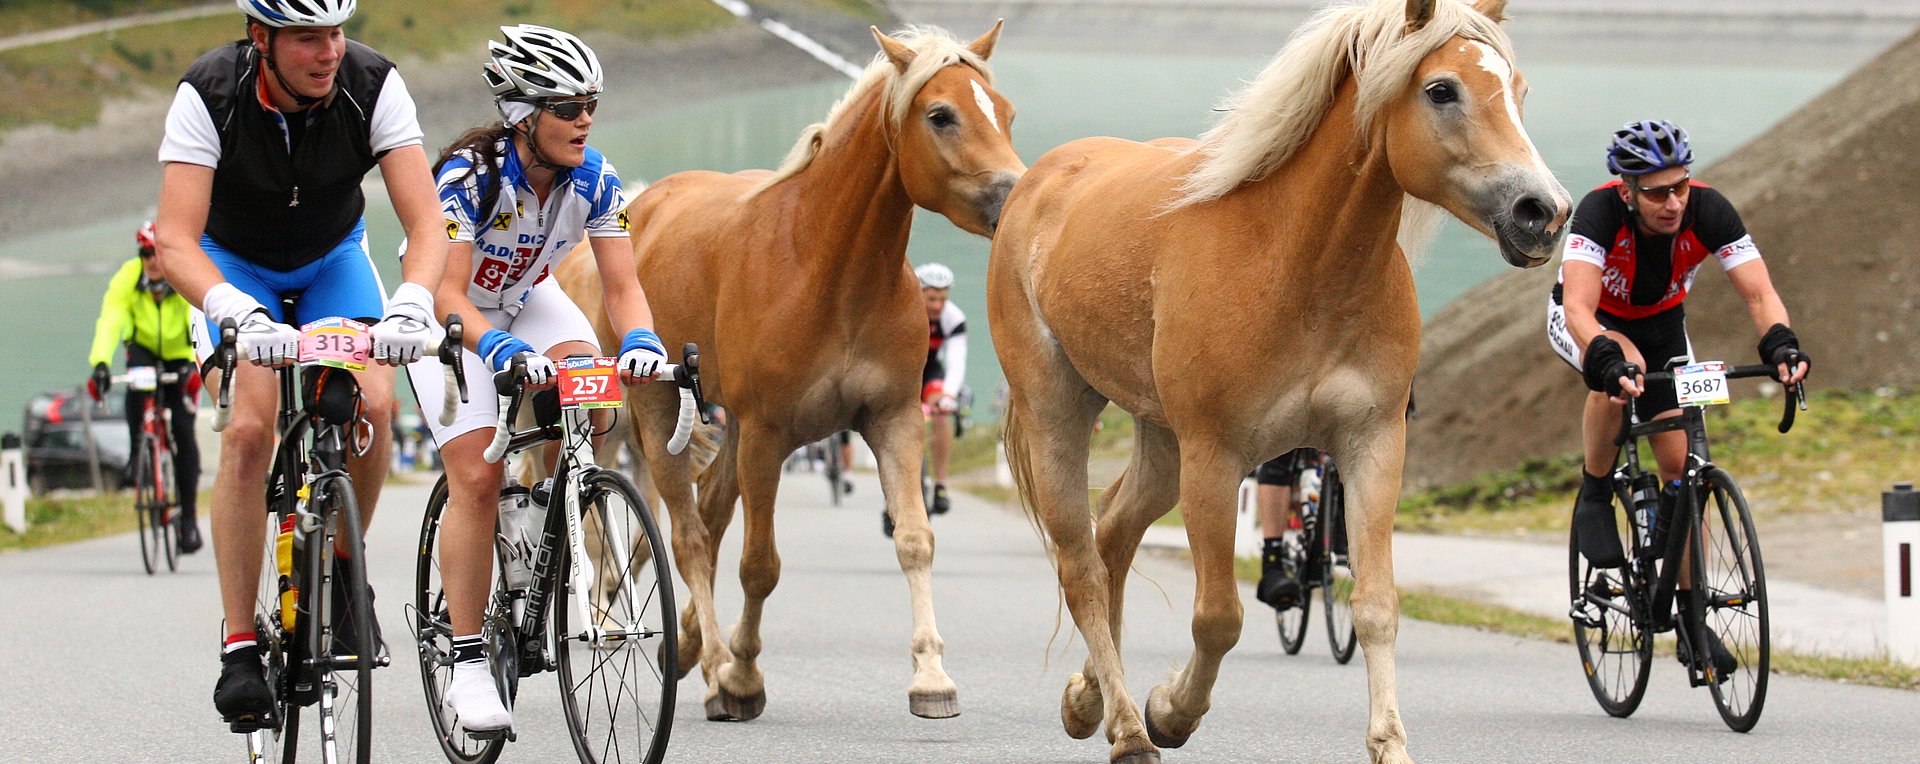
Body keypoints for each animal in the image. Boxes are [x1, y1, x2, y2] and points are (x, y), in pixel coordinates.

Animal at [549, 20, 1029, 717]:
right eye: (941, 114)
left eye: (1007, 113)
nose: (1013, 194)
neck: (830, 269)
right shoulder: (768, 433)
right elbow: (759, 564)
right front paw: (742, 675)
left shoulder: (893, 419)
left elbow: (914, 540)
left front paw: (931, 675)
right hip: (662, 410)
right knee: (690, 536)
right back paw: (713, 664)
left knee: (711, 514)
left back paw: (691, 645)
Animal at [998, 1, 1566, 764]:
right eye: (1442, 90)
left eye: (1519, 89)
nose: (1543, 212)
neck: (1296, 262)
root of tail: (1041, 178)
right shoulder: (1215, 459)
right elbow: (1218, 617)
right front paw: (1171, 711)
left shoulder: (1372, 446)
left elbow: (1376, 606)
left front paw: (1389, 742)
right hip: (1060, 410)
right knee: (1081, 565)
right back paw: (1128, 729)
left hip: (1161, 440)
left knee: (1112, 531)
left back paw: (1089, 699)